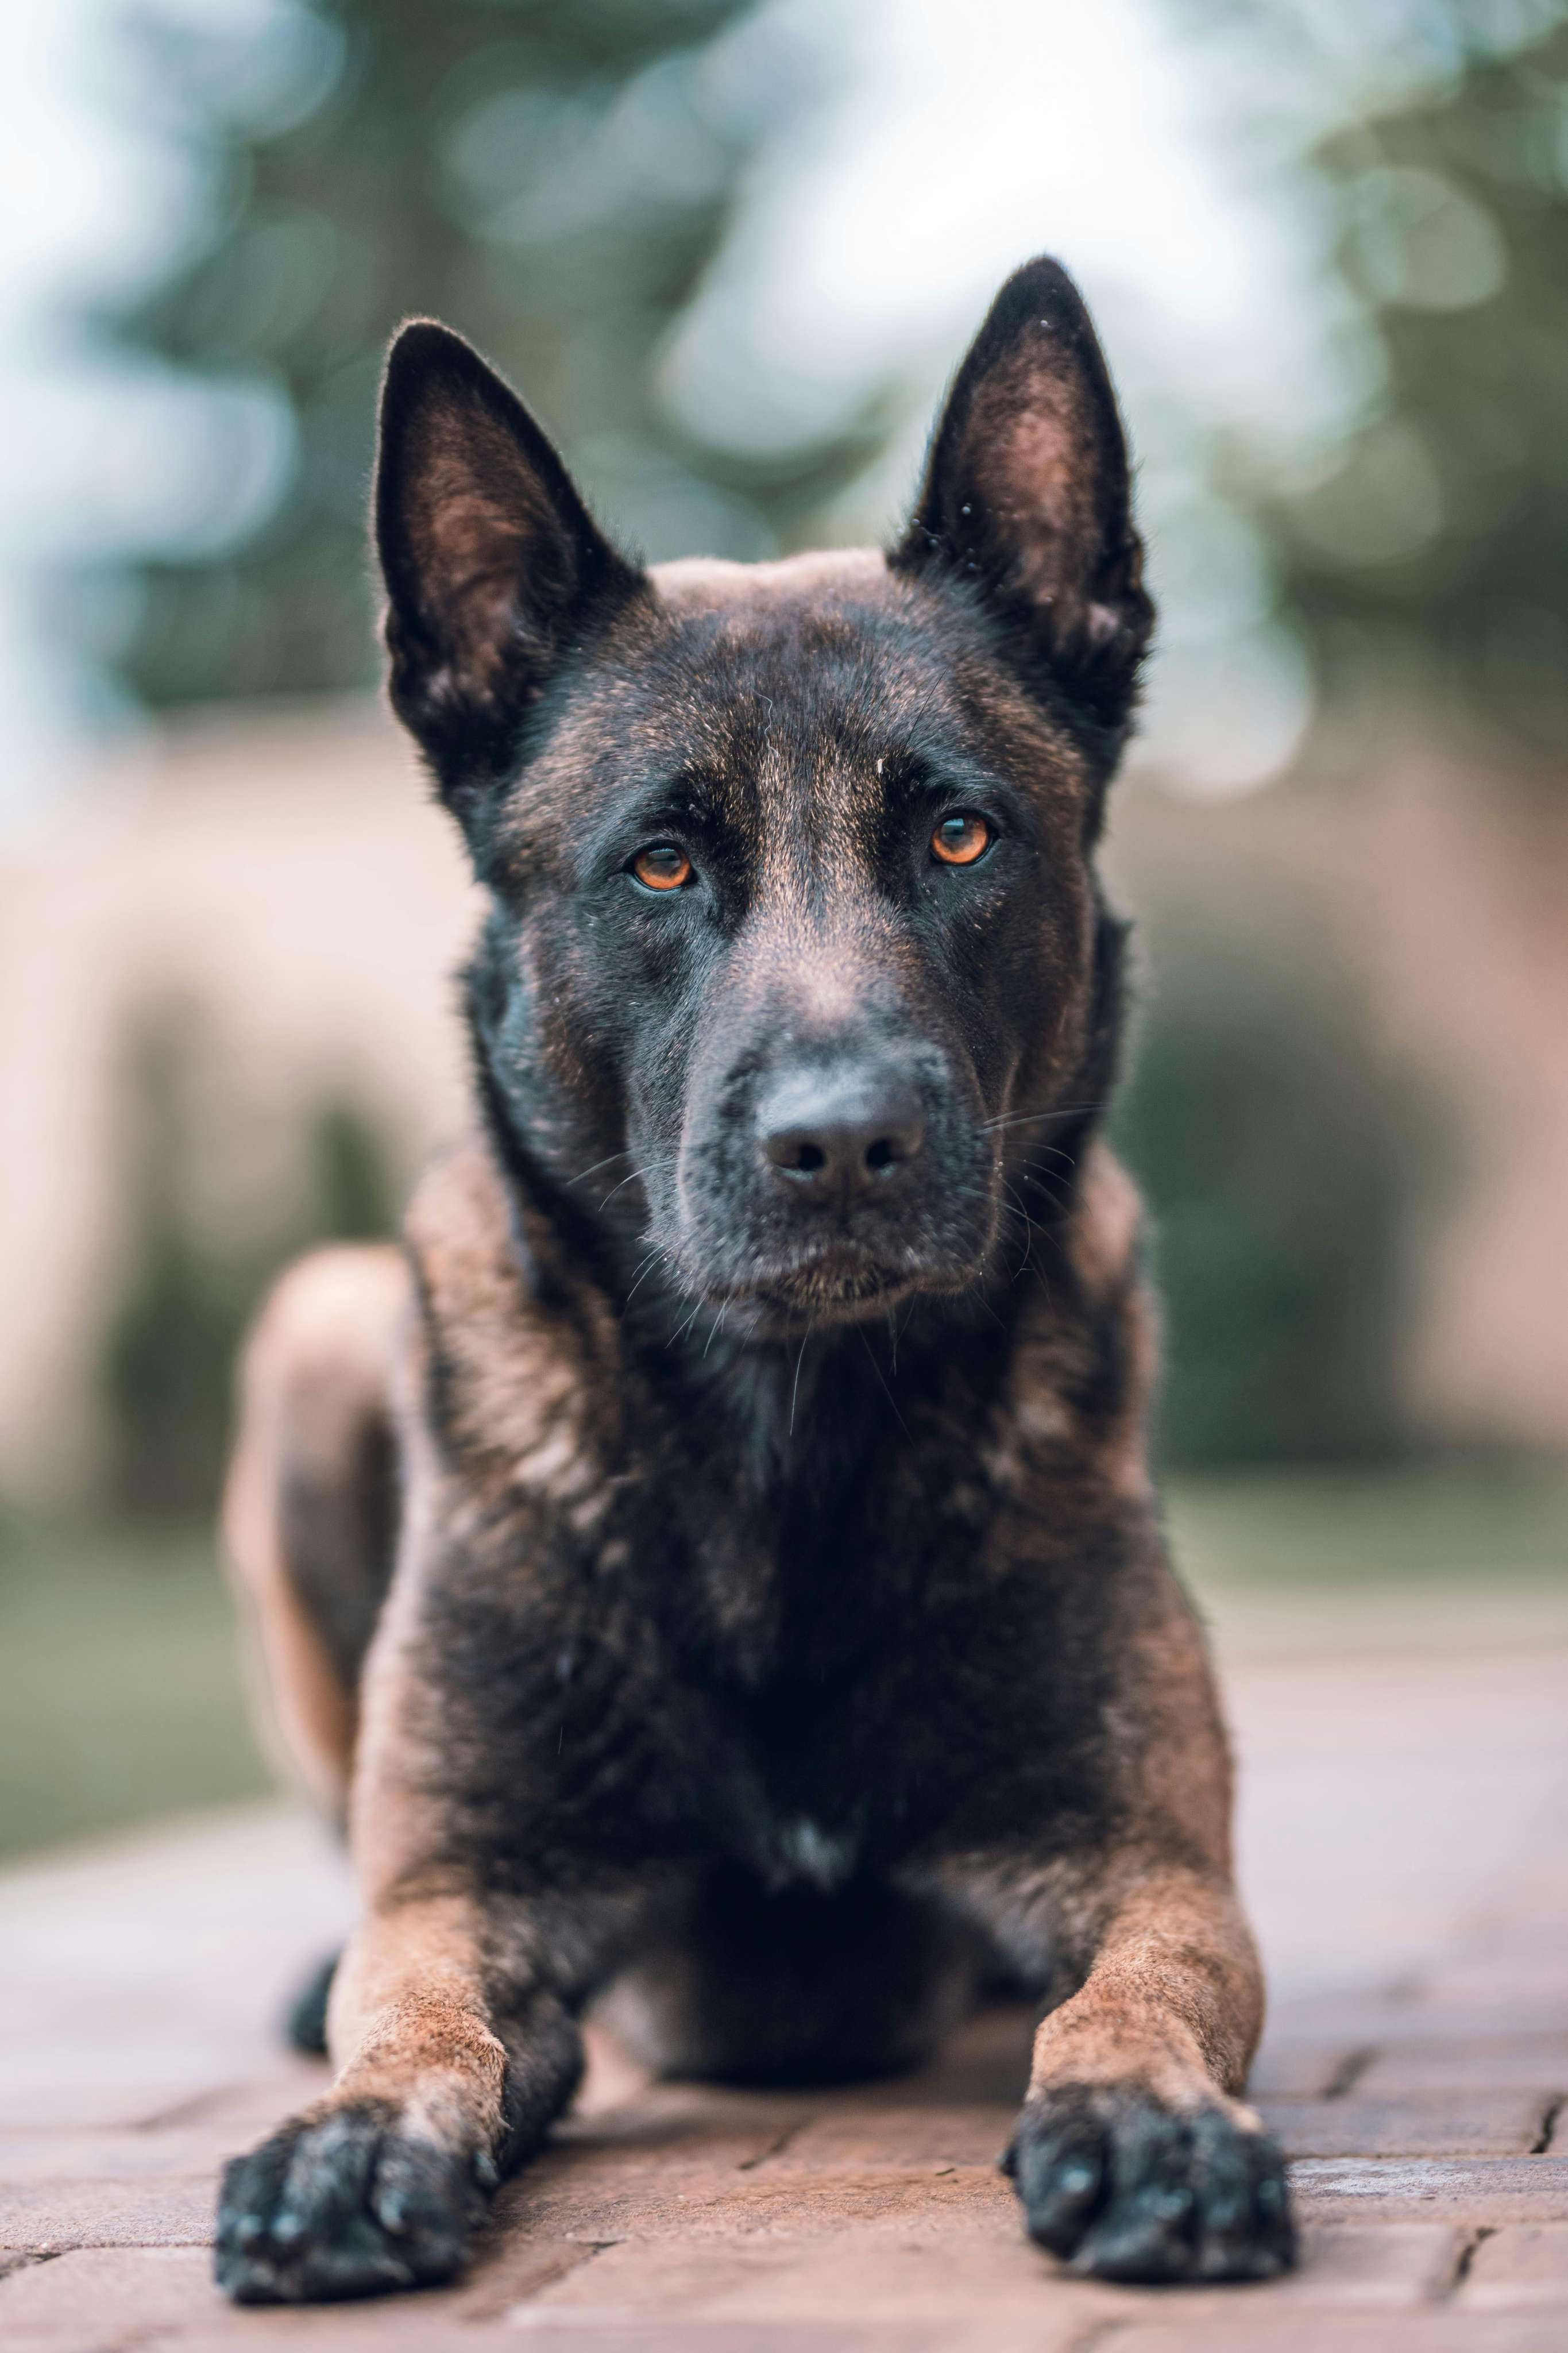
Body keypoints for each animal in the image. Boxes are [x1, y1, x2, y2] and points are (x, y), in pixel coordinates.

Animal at [215, 257, 1297, 2296]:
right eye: (658, 866)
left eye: (958, 832)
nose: (842, 1145)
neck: (788, 1450)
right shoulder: (469, 1887)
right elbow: (414, 2009)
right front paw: (351, 2134)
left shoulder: (1148, 1861)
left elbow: (1135, 1993)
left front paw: (1146, 2116)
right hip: (313, 1339)